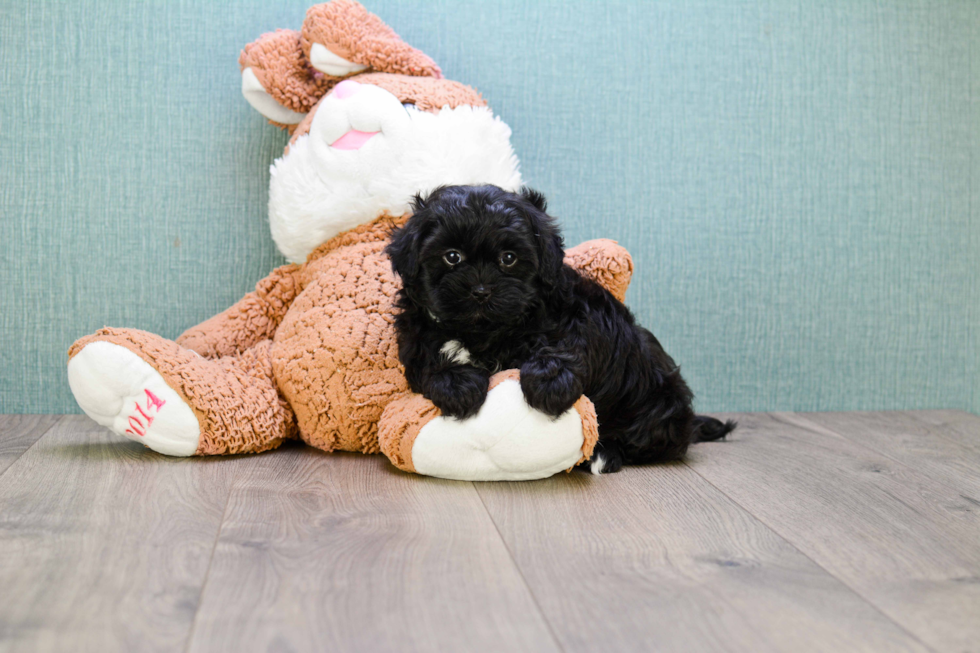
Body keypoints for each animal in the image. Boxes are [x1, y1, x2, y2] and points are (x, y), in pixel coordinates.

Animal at [386, 186, 732, 472]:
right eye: (452, 256)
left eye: (508, 258)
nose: (481, 291)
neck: (486, 332)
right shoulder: (416, 334)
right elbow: (430, 358)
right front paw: (458, 385)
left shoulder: (574, 316)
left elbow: (564, 344)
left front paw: (549, 383)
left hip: (659, 401)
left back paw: (602, 455)